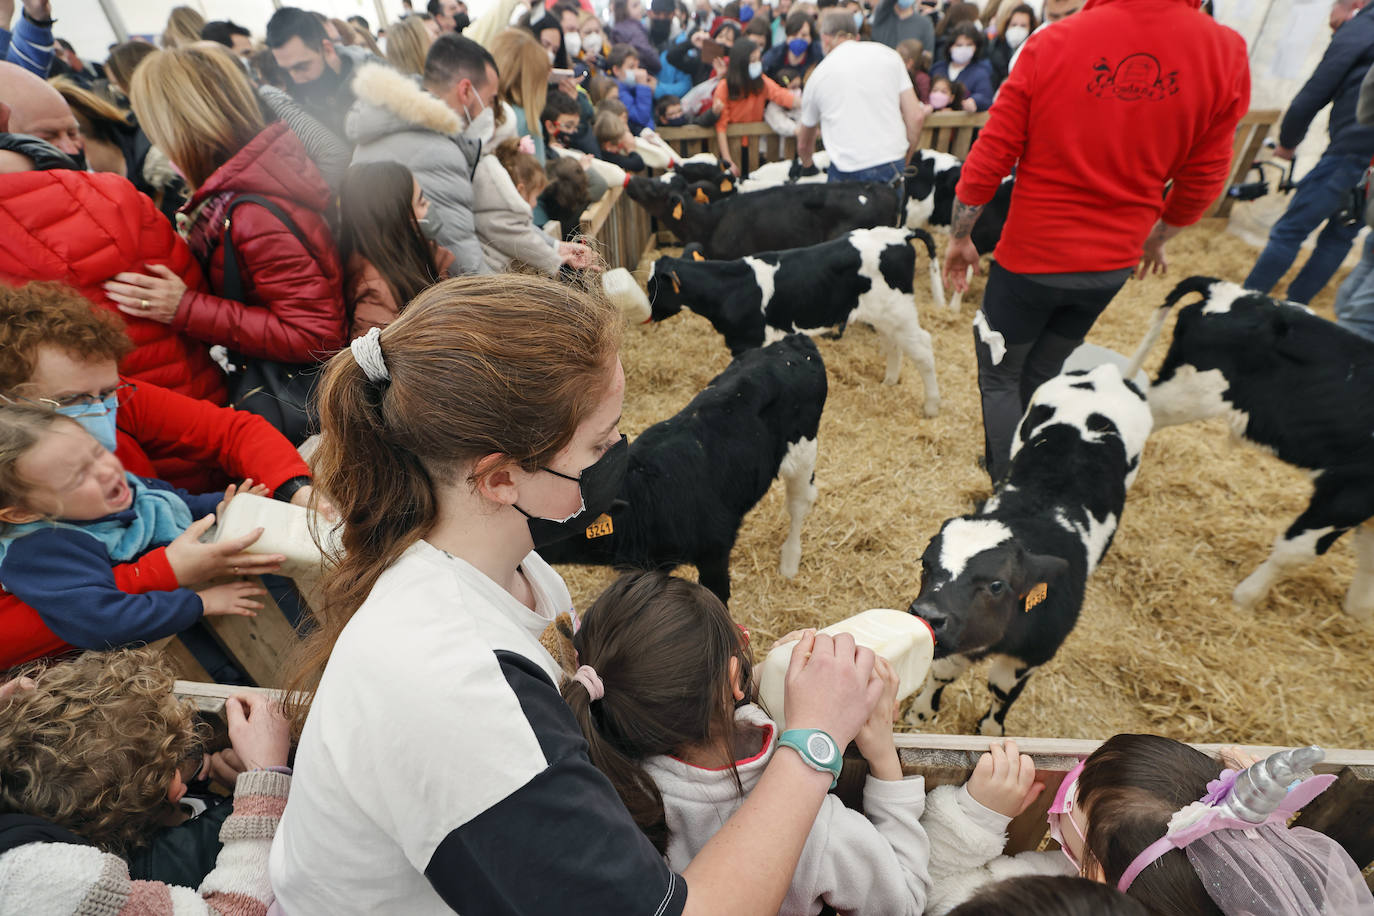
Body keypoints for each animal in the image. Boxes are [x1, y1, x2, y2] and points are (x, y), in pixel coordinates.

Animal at [648, 227, 939, 417]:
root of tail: (900, 234)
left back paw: (931, 407)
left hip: (899, 311)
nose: (646, 314)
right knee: (894, 344)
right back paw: (889, 381)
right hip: (885, 314)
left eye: (653, 286)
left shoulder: (748, 341)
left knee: (923, 348)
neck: (733, 287)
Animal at [906, 365, 1154, 736]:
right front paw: (921, 712)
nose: (926, 614)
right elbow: (943, 672)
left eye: (997, 585)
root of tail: (1107, 372)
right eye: (925, 563)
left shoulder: (1033, 655)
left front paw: (991, 729)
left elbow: (1002, 690)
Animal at [1121, 277, 1374, 623]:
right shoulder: (1350, 490)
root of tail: (1234, 292)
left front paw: (1359, 611)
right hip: (1186, 395)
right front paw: (1246, 598)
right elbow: (1297, 551)